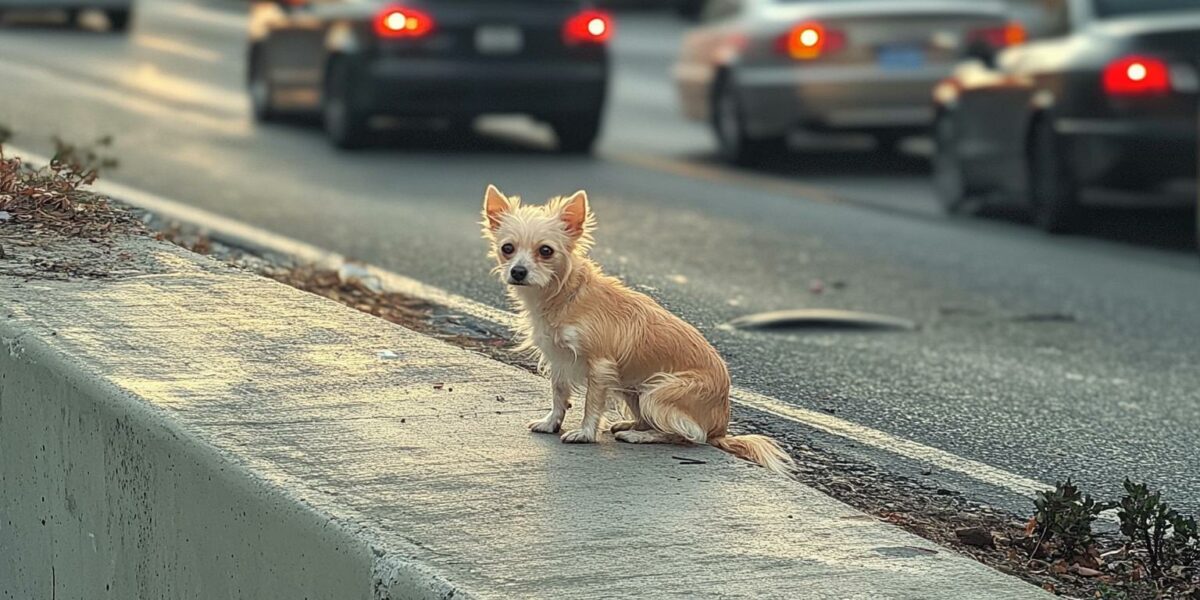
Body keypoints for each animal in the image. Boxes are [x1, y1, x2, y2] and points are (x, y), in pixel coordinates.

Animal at [477, 184, 796, 475]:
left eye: (546, 251)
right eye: (507, 249)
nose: (518, 271)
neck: (565, 294)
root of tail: (721, 429)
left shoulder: (600, 366)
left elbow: (591, 403)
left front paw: (585, 433)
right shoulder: (559, 359)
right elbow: (559, 395)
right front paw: (551, 422)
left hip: (657, 391)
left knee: (691, 435)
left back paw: (639, 436)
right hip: (633, 388)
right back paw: (631, 424)